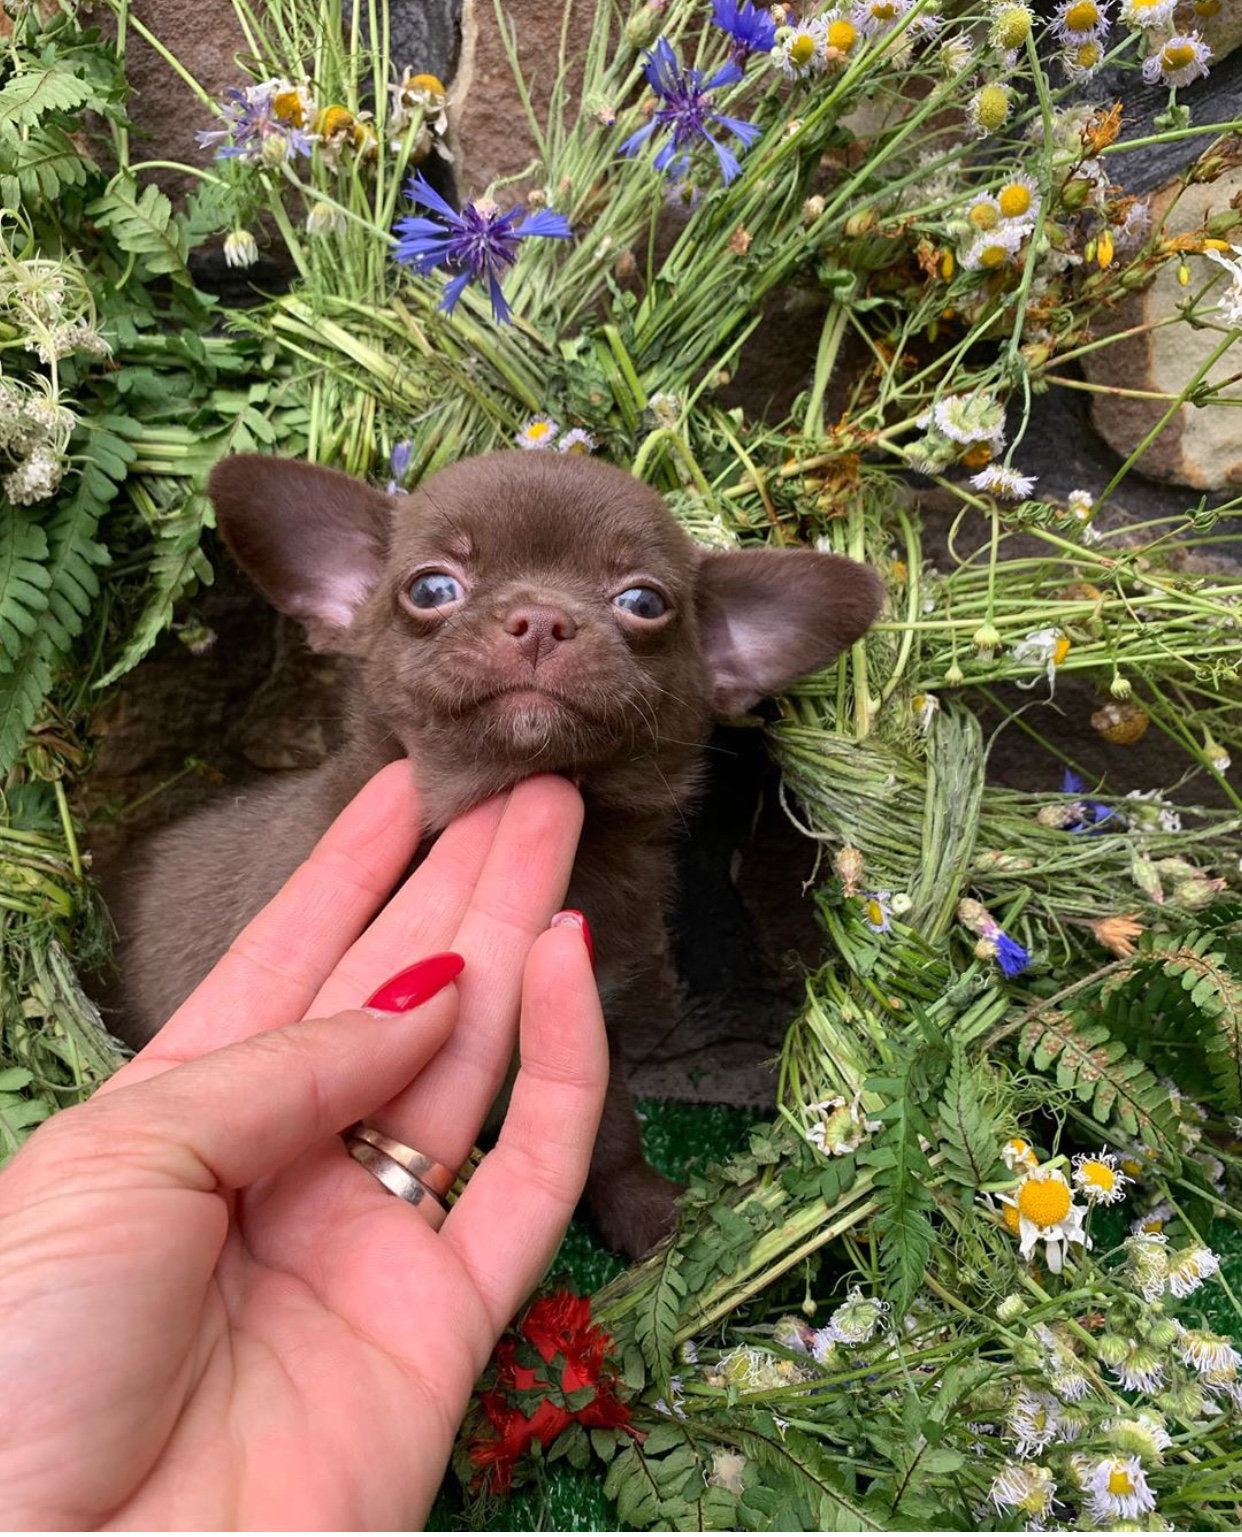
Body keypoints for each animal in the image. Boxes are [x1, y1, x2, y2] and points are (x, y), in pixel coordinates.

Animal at [109, 448, 885, 1254]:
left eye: (644, 602)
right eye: (431, 588)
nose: (541, 617)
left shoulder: (593, 1013)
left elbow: (609, 1126)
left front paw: (644, 1208)